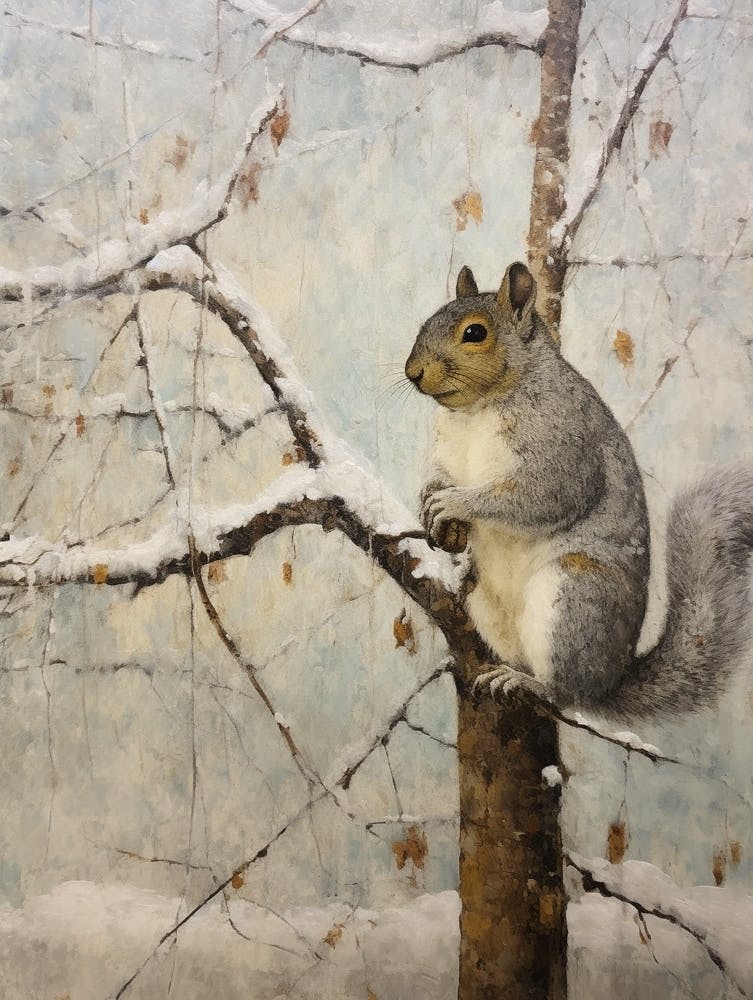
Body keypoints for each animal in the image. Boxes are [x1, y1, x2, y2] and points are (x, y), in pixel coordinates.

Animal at [404, 260, 753, 721]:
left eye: (475, 333)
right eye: (427, 321)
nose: (412, 373)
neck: (478, 408)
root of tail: (611, 680)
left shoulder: (563, 445)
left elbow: (540, 497)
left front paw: (454, 502)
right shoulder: (448, 451)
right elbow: (439, 474)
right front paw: (430, 501)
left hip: (575, 599)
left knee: (568, 694)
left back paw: (529, 683)